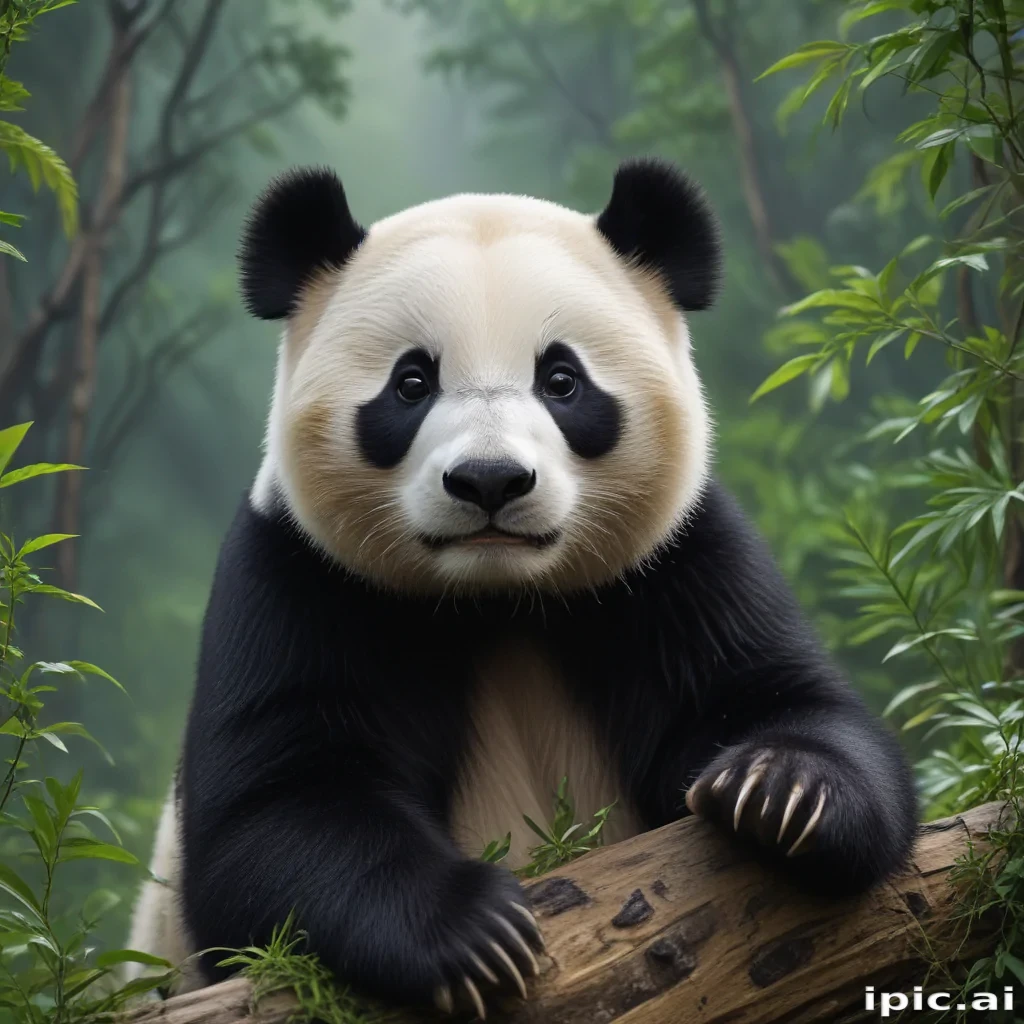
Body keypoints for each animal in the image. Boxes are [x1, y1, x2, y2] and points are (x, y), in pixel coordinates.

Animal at [127, 158, 918, 1017]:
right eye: (411, 382)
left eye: (562, 380)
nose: (489, 480)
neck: (499, 598)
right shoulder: (298, 579)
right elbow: (276, 811)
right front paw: (471, 934)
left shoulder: (678, 564)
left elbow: (785, 699)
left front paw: (781, 793)